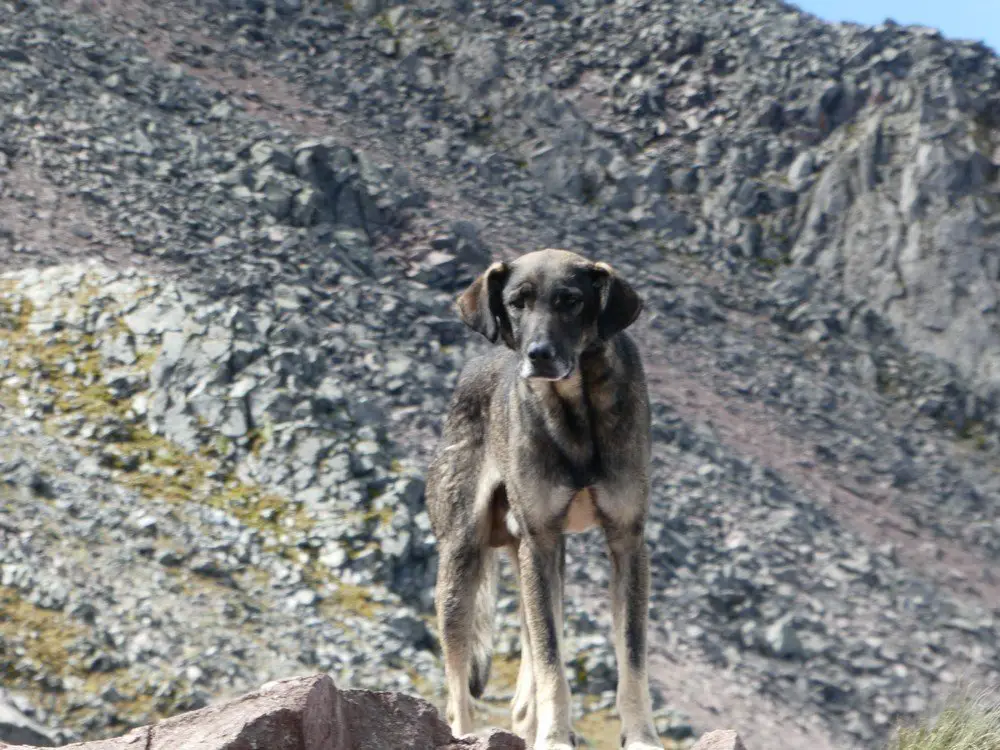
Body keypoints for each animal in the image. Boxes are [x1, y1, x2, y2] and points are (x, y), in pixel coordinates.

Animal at [424, 250, 664, 748]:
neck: (576, 409)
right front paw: (554, 736)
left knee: (524, 677)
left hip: (533, 559)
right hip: (463, 559)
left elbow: (632, 657)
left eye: (570, 301)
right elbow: (552, 659)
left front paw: (641, 735)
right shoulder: (542, 542)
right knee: (459, 684)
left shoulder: (627, 541)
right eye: (517, 302)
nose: (538, 355)